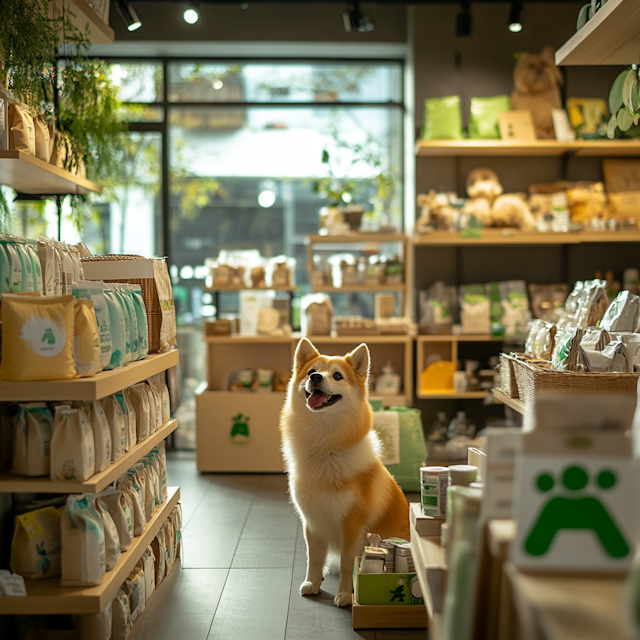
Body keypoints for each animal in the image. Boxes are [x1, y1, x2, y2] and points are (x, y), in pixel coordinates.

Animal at [280, 338, 410, 608]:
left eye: (338, 375)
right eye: (311, 371)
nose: (316, 377)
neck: (324, 448)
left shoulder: (352, 526)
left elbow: (349, 563)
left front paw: (344, 595)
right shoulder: (312, 522)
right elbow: (314, 559)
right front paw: (312, 583)